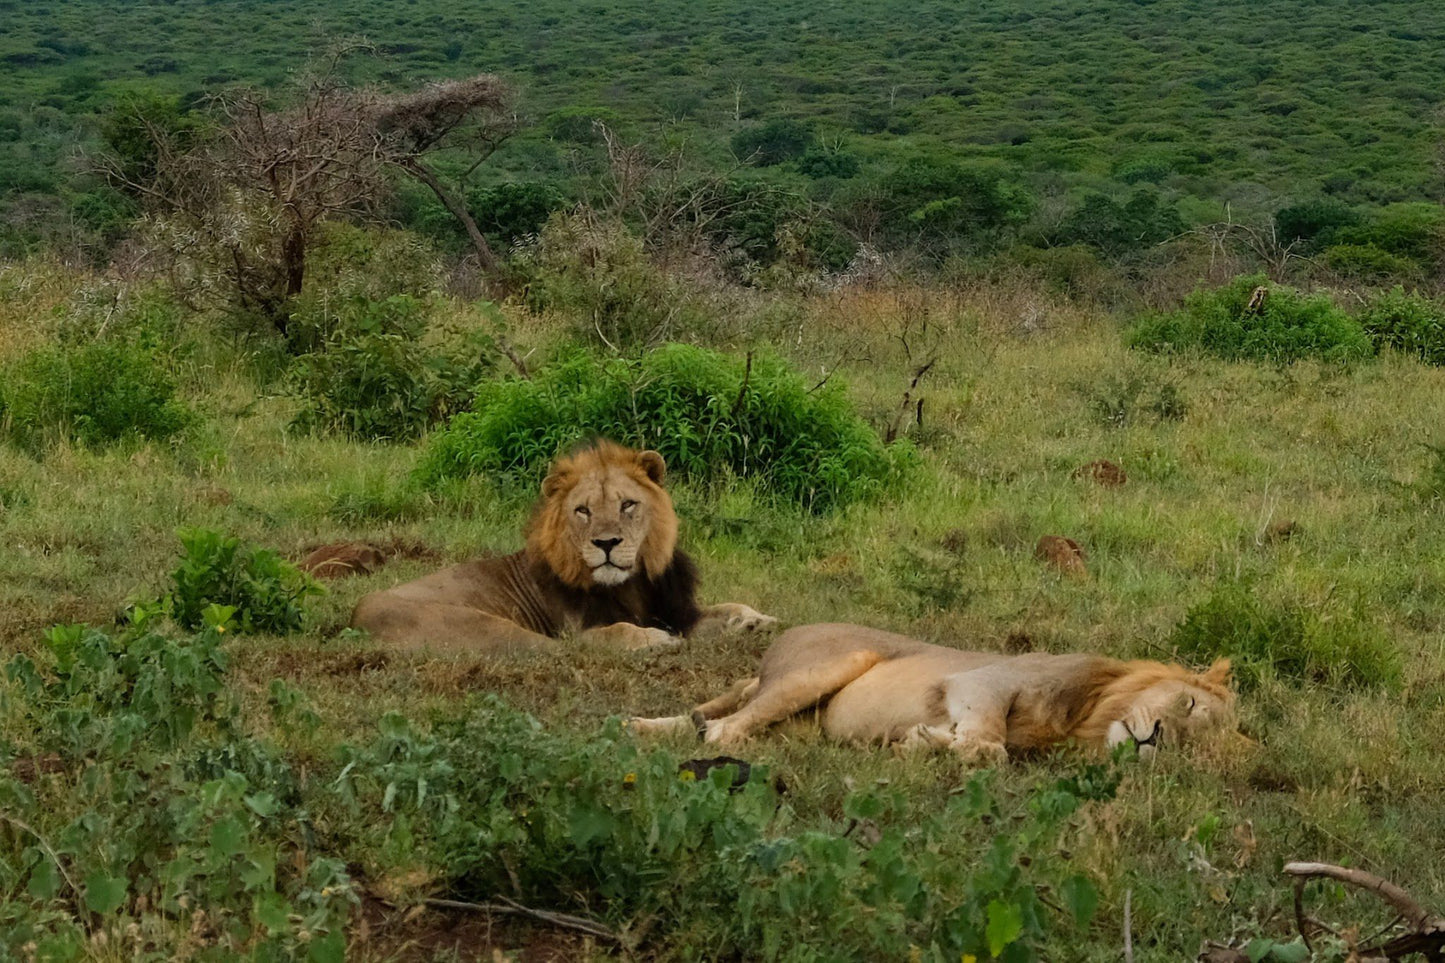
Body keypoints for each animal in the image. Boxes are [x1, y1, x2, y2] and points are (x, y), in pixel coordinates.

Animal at [351, 442, 774, 653]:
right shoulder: (578, 630)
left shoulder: (678, 609)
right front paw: (656, 638)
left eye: (627, 504)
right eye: (583, 510)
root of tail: (356, 615)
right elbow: (615, 631)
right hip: (488, 626)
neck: (632, 584)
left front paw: (755, 621)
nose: (606, 543)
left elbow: (725, 607)